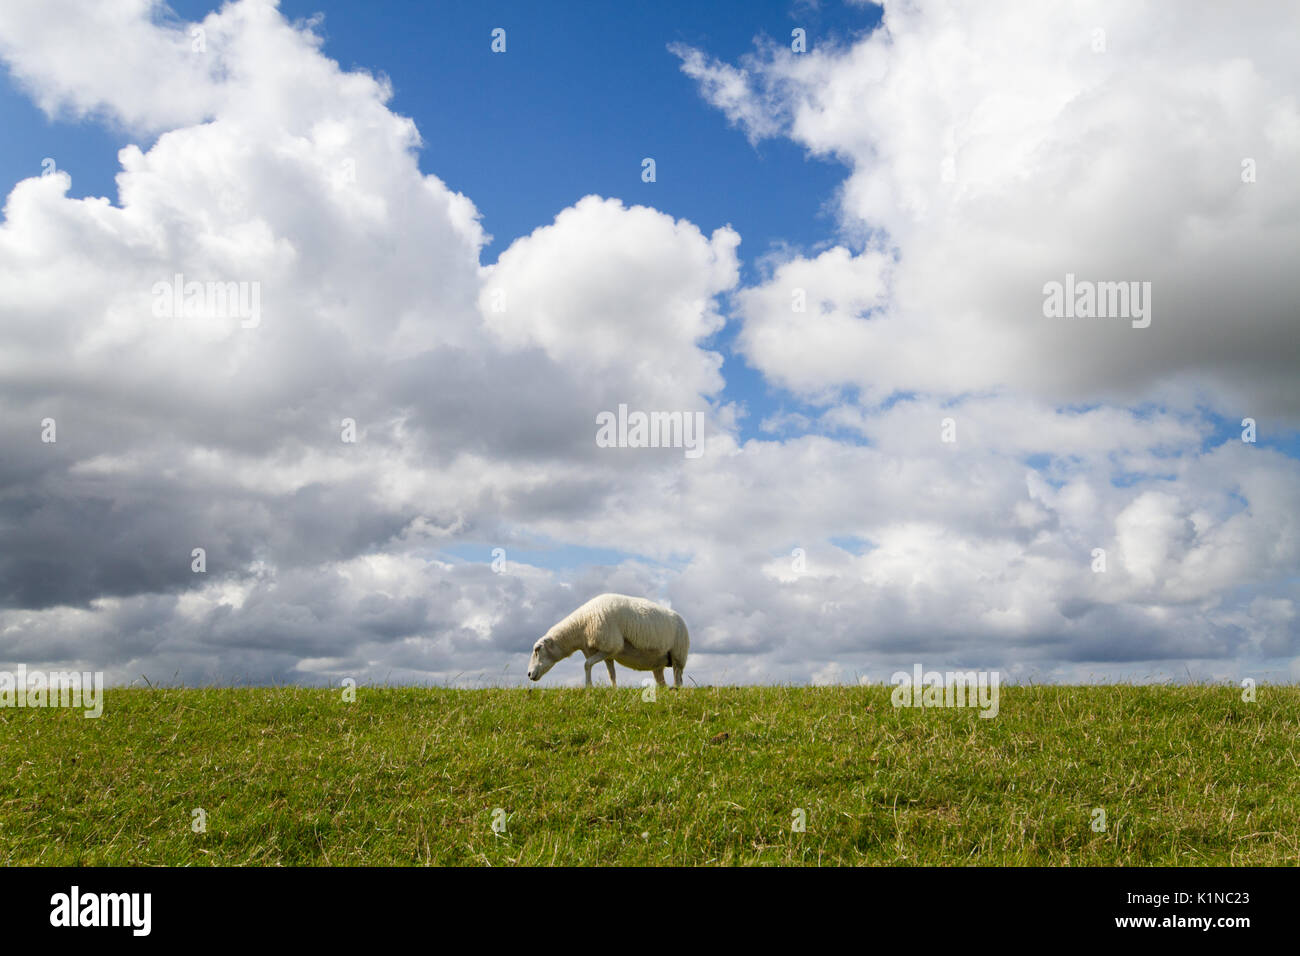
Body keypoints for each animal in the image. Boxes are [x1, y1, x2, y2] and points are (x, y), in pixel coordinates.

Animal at [527, 590, 691, 686]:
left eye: (537, 649)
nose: (528, 674)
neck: (582, 625)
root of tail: (679, 617)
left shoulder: (611, 646)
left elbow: (586, 664)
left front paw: (589, 687)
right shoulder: (607, 653)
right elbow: (611, 674)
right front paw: (614, 690)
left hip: (678, 656)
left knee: (678, 680)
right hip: (658, 663)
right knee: (662, 683)